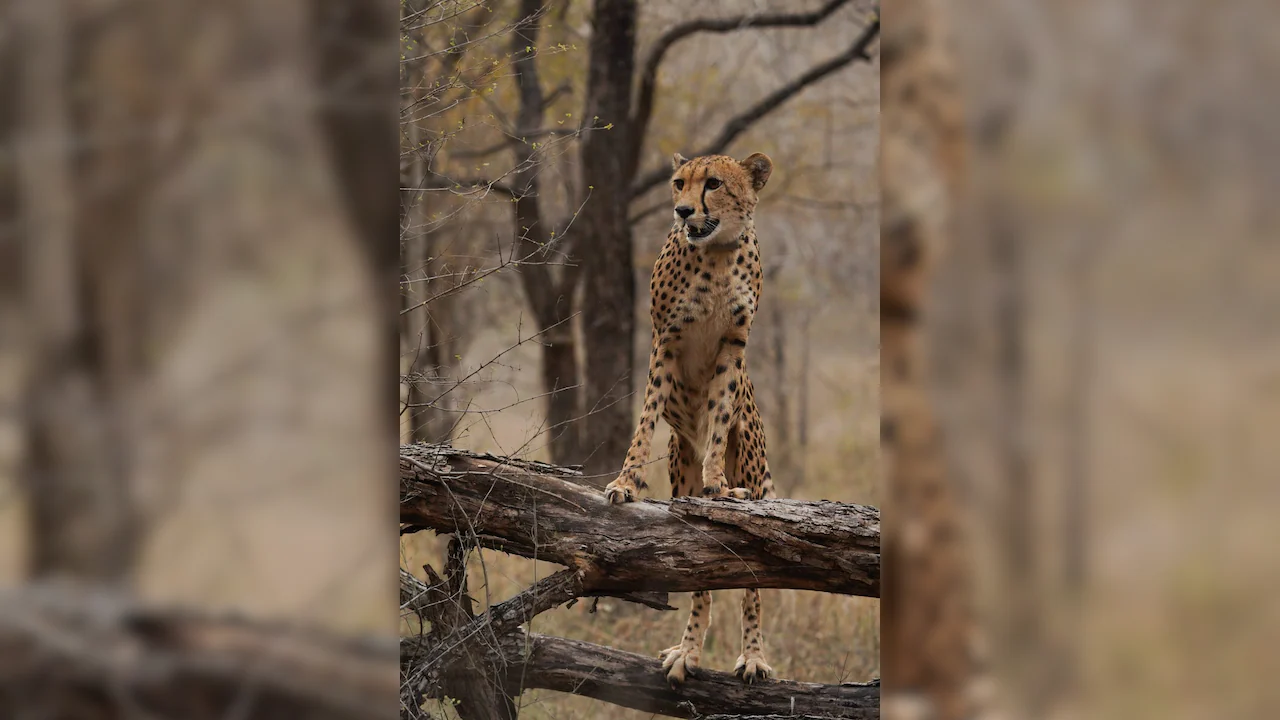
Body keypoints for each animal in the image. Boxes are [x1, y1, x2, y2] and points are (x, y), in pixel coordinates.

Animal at [603, 151, 777, 687]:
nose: (682, 211)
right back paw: (689, 651)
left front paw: (717, 483)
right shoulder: (667, 340)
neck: (716, 253)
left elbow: (717, 419)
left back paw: (753, 654)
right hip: (680, 466)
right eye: (679, 183)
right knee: (699, 579)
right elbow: (645, 419)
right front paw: (626, 483)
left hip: (755, 467)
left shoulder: (732, 347)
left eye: (714, 184)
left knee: (753, 585)